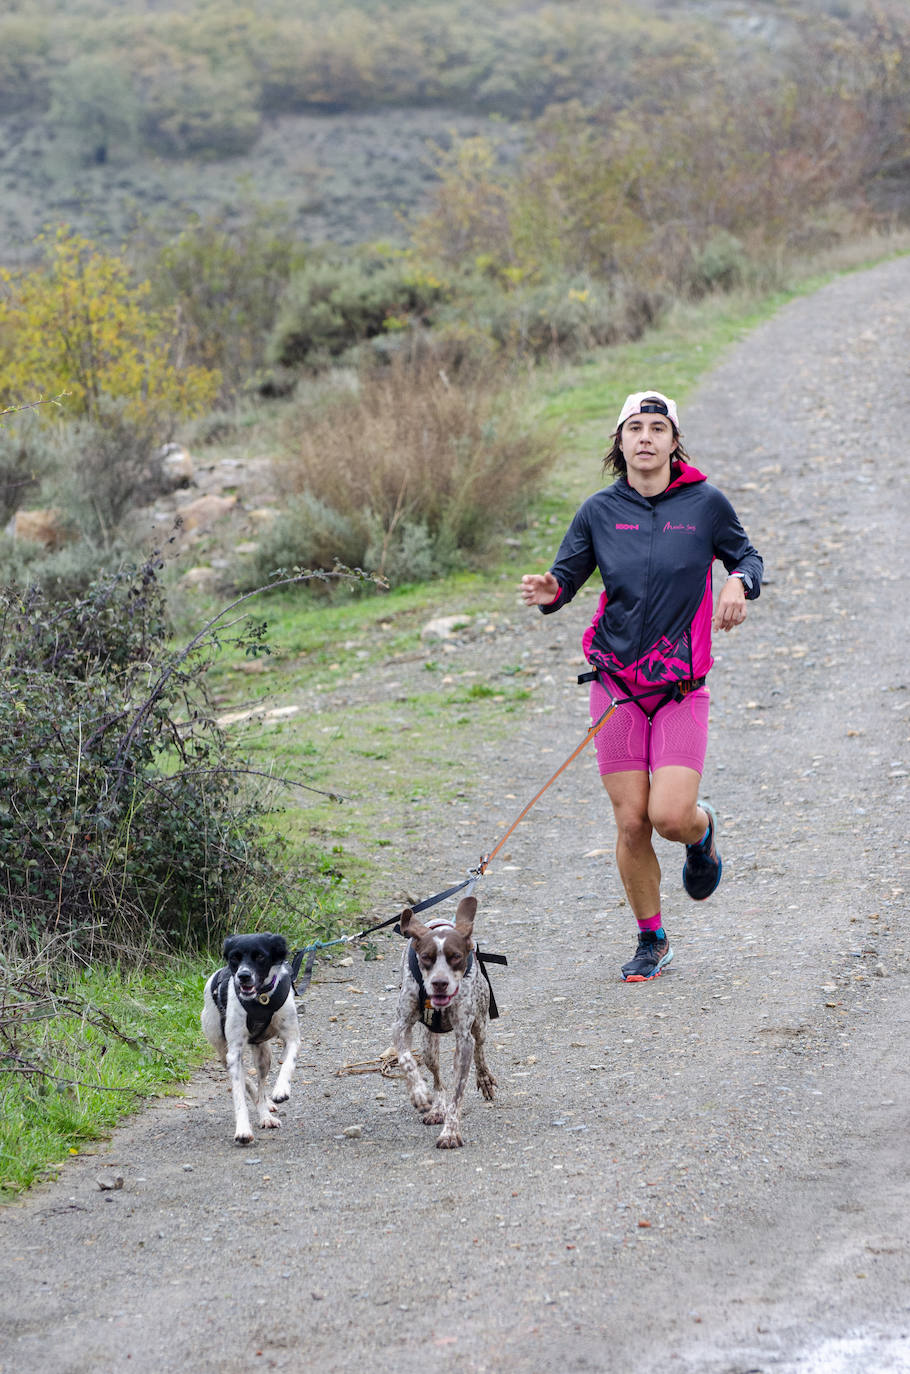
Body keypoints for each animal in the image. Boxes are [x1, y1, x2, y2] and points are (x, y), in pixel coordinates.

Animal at [202, 928, 301, 1143]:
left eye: (260, 956)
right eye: (234, 958)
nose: (243, 976)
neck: (260, 999)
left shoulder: (293, 1038)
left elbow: (288, 1064)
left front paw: (281, 1090)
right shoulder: (234, 1051)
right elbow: (239, 1094)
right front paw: (243, 1129)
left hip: (264, 1056)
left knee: (261, 1085)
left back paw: (266, 1114)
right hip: (223, 1051)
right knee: (245, 1080)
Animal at [393, 890, 500, 1148]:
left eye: (456, 956)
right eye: (425, 957)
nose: (439, 983)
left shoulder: (464, 1038)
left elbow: (457, 1093)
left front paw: (450, 1132)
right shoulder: (401, 1026)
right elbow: (406, 1060)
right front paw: (419, 1094)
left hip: (480, 1024)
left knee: (480, 1049)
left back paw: (484, 1077)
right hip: (428, 1046)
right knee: (436, 1077)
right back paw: (436, 1108)